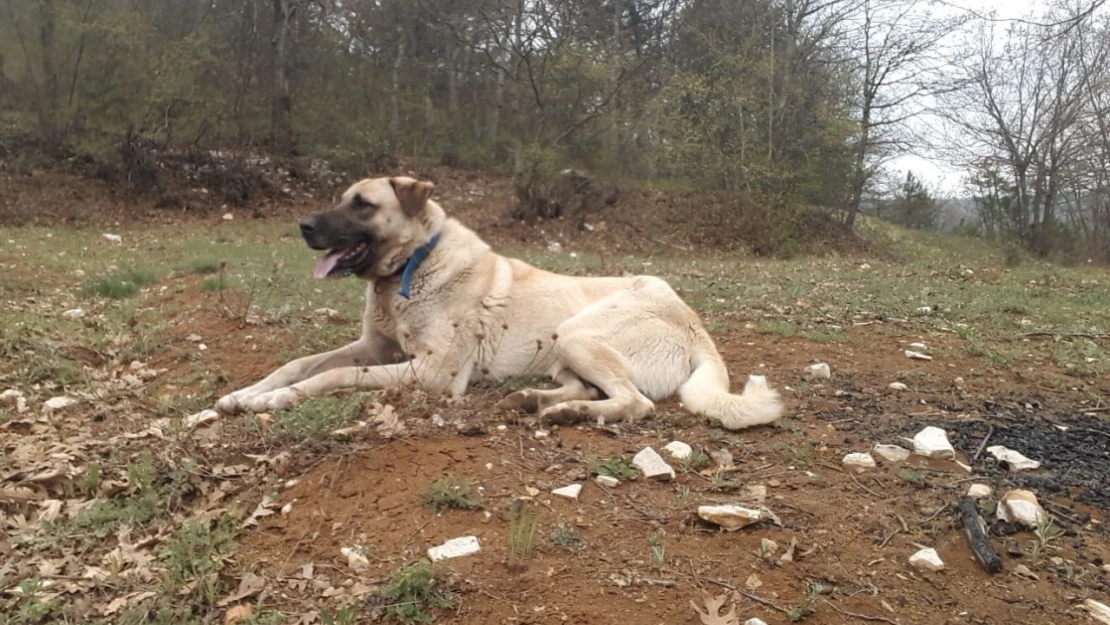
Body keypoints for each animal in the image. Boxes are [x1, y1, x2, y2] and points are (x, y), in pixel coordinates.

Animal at [216, 176, 785, 430]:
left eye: (363, 205)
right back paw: (534, 400)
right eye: (341, 199)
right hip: (562, 349)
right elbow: (300, 363)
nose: (303, 225)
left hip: (580, 332)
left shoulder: (431, 374)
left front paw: (272, 401)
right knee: (587, 387)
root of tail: (692, 320)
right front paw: (244, 395)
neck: (412, 267)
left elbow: (330, 376)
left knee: (634, 403)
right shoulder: (374, 348)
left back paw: (568, 413)